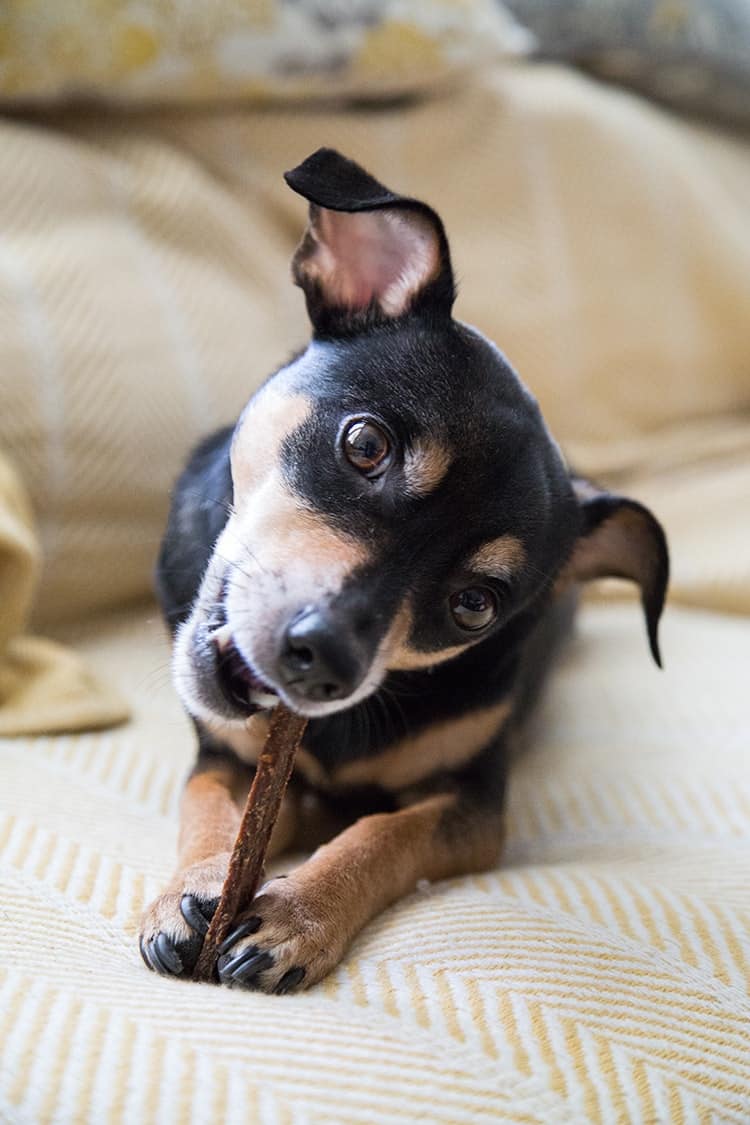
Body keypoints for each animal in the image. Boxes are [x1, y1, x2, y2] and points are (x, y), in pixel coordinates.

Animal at [139, 147, 670, 994]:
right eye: (365, 445)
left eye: (475, 604)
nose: (324, 660)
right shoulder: (221, 756)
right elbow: (209, 807)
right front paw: (191, 890)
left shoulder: (474, 803)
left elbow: (385, 833)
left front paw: (297, 917)